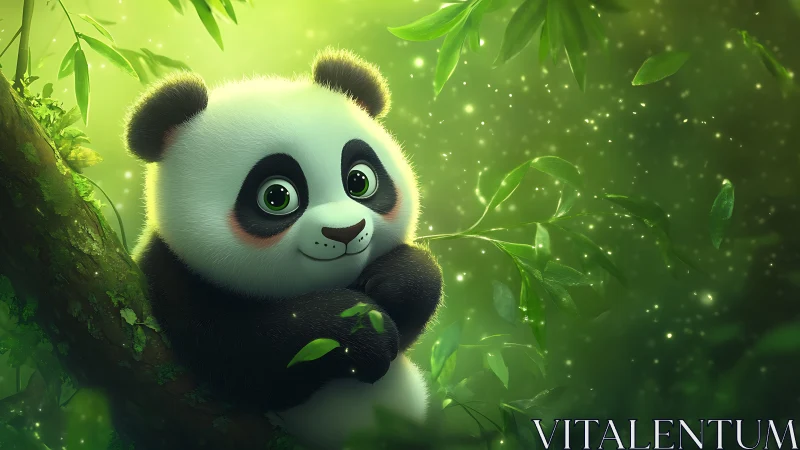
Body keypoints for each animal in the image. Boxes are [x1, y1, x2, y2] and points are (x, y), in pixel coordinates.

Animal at [124, 48, 444, 449]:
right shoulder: (170, 278)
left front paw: (393, 283)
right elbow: (245, 352)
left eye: (359, 180)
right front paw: (361, 329)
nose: (345, 231)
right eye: (277, 196)